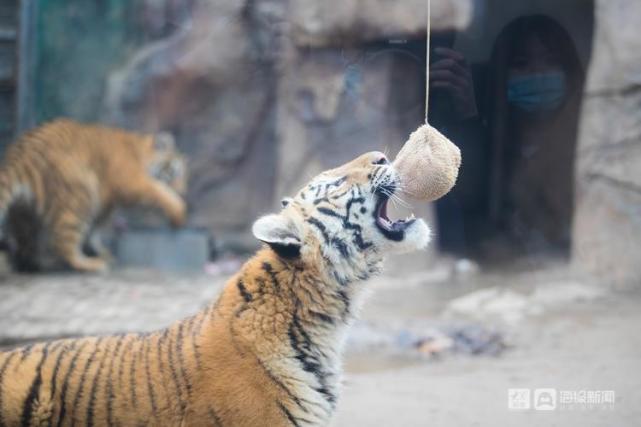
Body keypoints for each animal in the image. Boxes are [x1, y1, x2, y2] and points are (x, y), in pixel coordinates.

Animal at [0, 118, 187, 273]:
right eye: (175, 173)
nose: (184, 190)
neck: (140, 150)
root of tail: (21, 155)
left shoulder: (105, 204)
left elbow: (95, 228)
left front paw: (101, 251)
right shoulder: (132, 182)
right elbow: (160, 190)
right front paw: (179, 213)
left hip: (24, 213)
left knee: (26, 245)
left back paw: (38, 263)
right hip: (81, 194)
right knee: (62, 243)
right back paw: (91, 264)